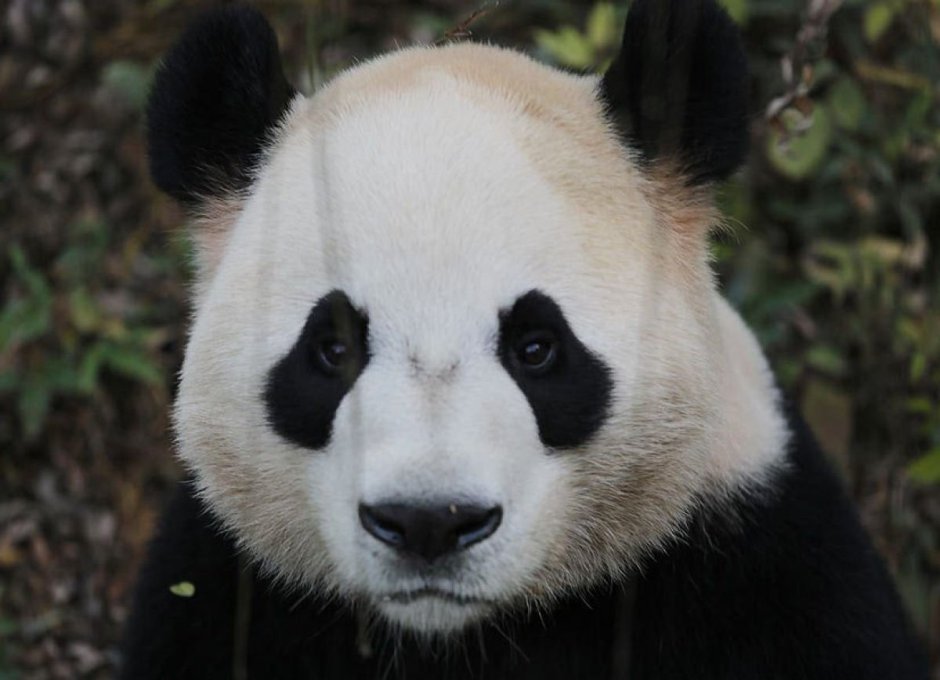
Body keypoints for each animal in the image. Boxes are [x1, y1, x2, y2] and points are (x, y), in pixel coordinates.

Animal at [122, 1, 928, 678]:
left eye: (536, 348)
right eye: (333, 349)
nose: (429, 522)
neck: (460, 637)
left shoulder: (758, 557)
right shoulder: (232, 591)